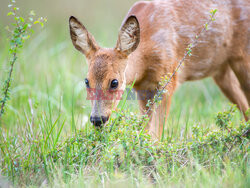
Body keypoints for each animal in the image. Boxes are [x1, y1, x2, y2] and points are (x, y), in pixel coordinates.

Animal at [69, 0, 250, 138]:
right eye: (87, 81)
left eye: (114, 82)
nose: (97, 119)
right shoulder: (142, 89)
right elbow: (146, 130)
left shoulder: (169, 80)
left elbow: (157, 133)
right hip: (221, 70)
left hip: (242, 57)